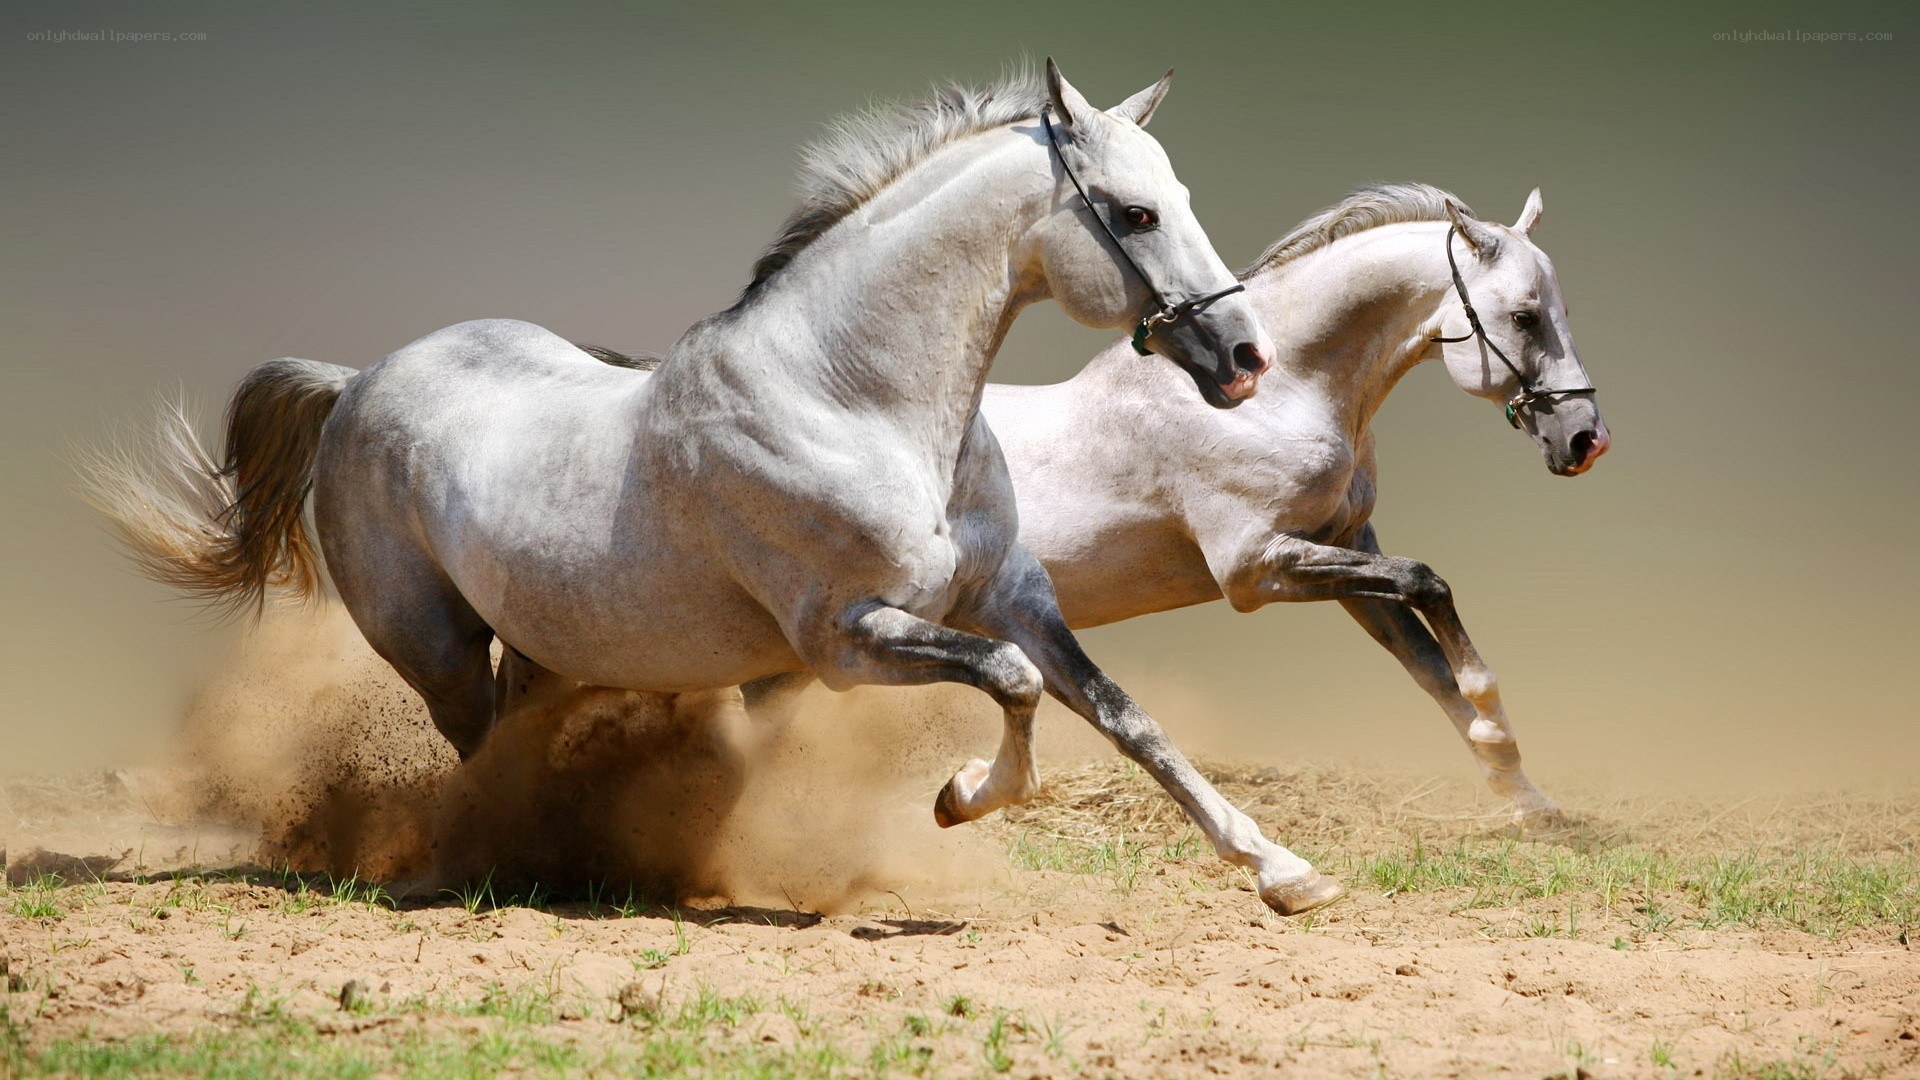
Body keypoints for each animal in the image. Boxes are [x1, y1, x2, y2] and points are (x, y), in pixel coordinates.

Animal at [86, 62, 1350, 915]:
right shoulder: (846, 639)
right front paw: (958, 796)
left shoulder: (1011, 597)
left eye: (1177, 195)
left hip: (544, 643)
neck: (854, 398)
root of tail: (356, 383)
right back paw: (493, 862)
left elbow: (1124, 716)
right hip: (433, 646)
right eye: (1135, 212)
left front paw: (1285, 872)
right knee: (477, 751)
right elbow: (1014, 686)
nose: (1243, 358)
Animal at [748, 184, 1610, 830]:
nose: (1585, 438)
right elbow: (1430, 585)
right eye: (1525, 315)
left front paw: (1529, 801)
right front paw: (1497, 724)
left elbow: (1428, 663)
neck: (1284, 392)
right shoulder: (1258, 569)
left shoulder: (1347, 549)